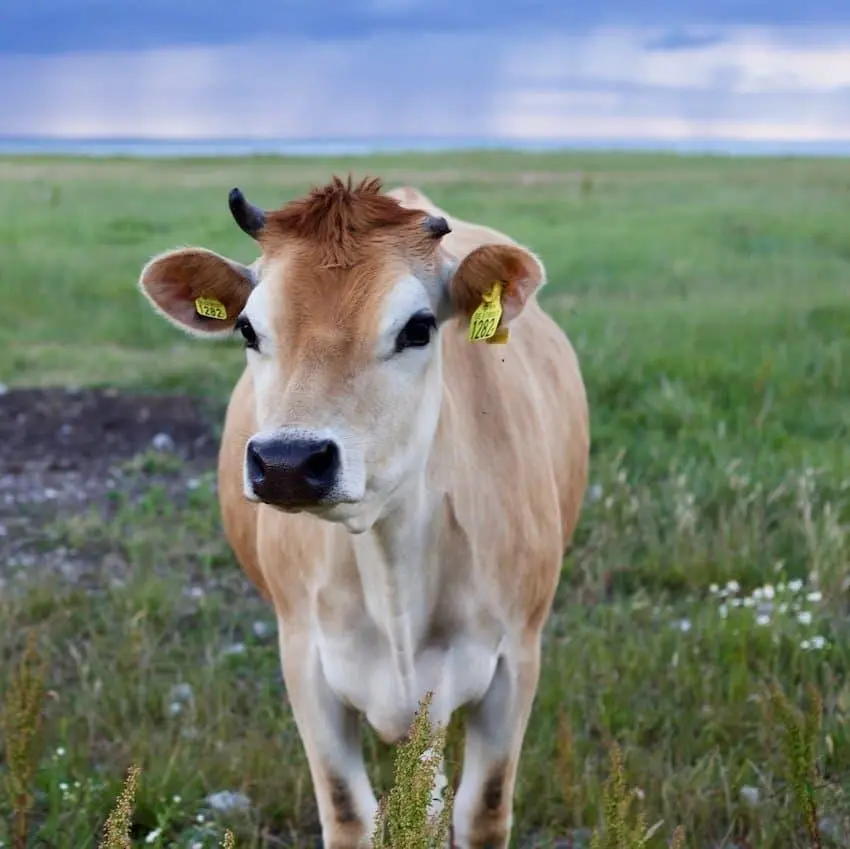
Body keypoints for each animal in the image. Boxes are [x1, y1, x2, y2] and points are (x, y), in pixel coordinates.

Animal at [137, 176, 589, 849]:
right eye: (247, 329)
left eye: (419, 327)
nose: (288, 462)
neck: (392, 560)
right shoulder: (304, 659)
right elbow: (350, 813)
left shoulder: (516, 659)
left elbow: (482, 810)